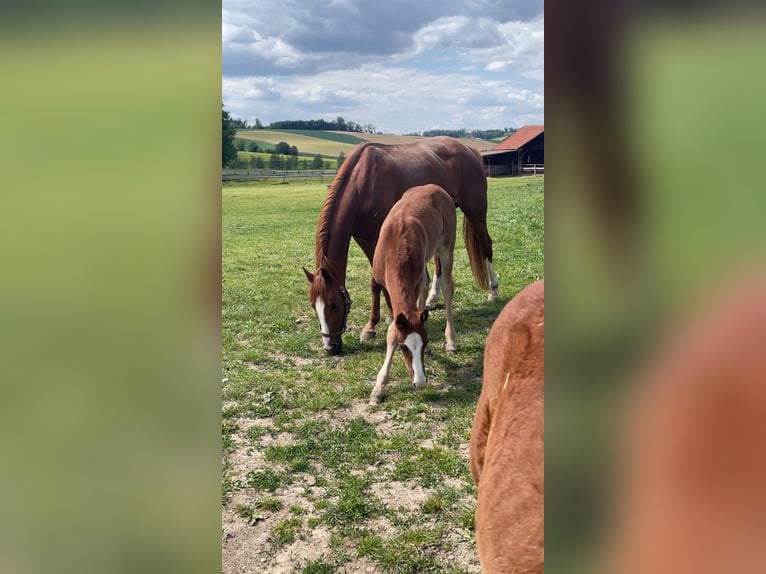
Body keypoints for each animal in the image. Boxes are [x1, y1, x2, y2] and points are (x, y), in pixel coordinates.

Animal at [303, 136, 498, 355]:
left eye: (334, 304)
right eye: (313, 306)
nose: (330, 347)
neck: (361, 182)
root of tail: (469, 150)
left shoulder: (377, 238)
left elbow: (375, 283)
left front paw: (373, 325)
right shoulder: (364, 239)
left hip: (476, 212)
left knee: (486, 246)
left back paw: (493, 291)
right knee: (439, 264)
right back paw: (431, 299)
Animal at [367, 184, 458, 405]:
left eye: (424, 343)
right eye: (403, 347)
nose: (421, 383)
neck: (394, 244)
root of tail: (437, 188)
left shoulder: (412, 283)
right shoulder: (383, 281)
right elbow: (393, 328)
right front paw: (378, 389)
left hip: (446, 247)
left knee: (447, 287)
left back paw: (450, 341)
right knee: (426, 288)